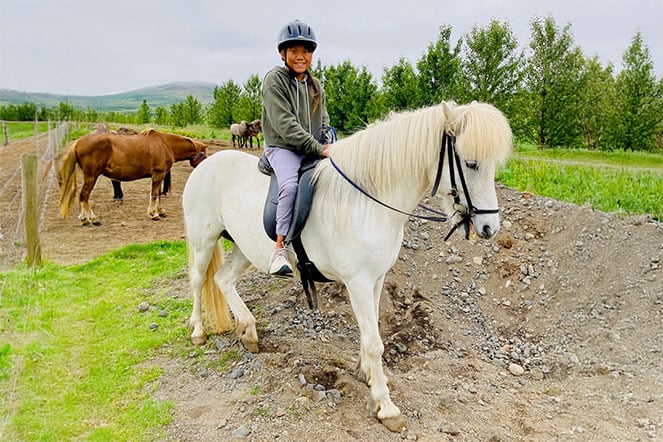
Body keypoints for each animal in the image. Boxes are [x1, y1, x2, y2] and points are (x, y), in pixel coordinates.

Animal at [59, 128, 207, 224]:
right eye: (204, 155)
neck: (165, 144)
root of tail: (78, 142)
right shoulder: (158, 175)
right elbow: (154, 195)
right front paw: (153, 214)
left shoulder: (159, 175)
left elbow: (158, 194)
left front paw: (161, 211)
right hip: (91, 176)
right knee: (84, 195)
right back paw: (92, 219)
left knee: (82, 196)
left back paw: (83, 218)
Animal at [182, 100, 512, 431]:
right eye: (470, 164)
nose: (489, 228)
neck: (368, 200)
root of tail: (206, 164)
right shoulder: (359, 283)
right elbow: (376, 343)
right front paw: (386, 407)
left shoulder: (377, 279)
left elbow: (371, 333)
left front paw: (367, 375)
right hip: (203, 241)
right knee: (198, 282)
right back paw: (198, 331)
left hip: (244, 248)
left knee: (223, 280)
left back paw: (248, 331)